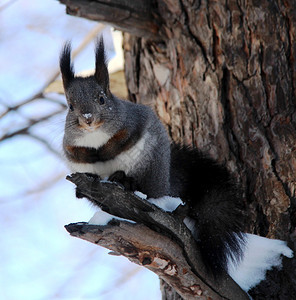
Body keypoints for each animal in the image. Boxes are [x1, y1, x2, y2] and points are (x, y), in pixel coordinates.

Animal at [59, 38, 245, 276]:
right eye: (70, 106)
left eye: (101, 98)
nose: (88, 118)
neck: (94, 138)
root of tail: (166, 184)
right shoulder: (69, 146)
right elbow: (77, 152)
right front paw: (90, 155)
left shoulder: (131, 123)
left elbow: (121, 140)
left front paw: (106, 150)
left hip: (150, 170)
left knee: (145, 188)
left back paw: (124, 180)